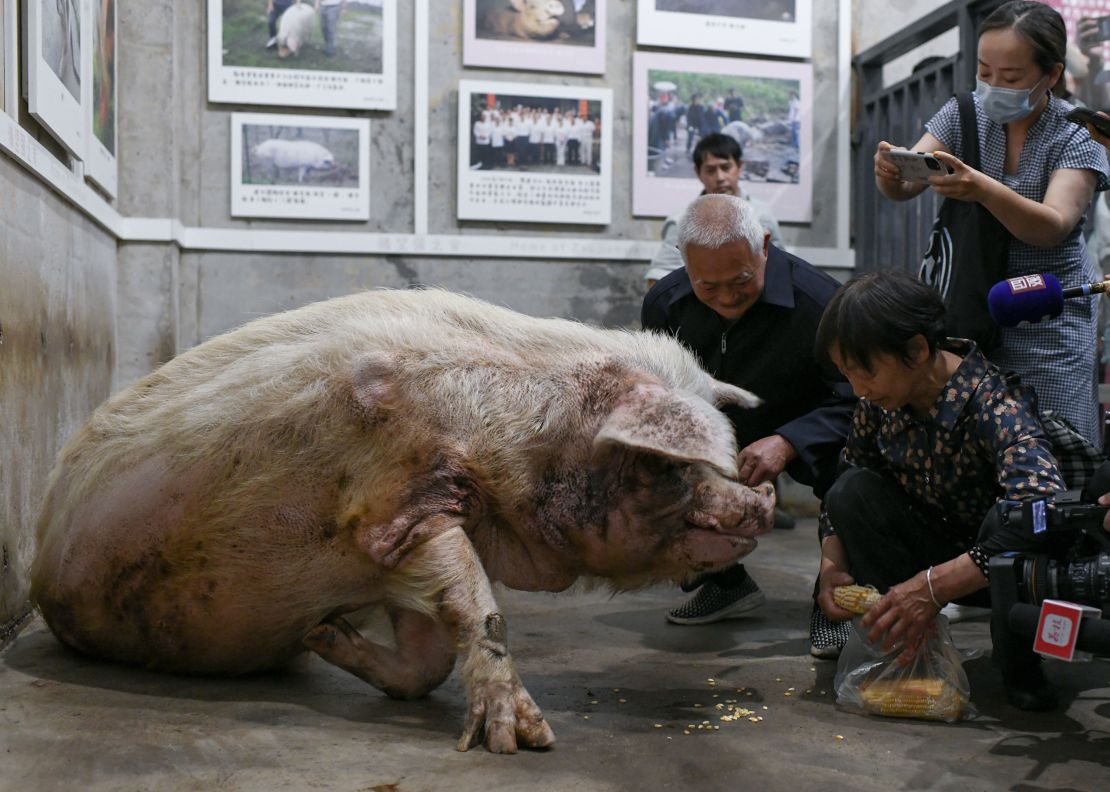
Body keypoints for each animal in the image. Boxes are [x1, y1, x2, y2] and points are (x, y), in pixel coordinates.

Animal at [32, 288, 772, 754]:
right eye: (666, 467)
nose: (758, 500)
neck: (522, 441)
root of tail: (37, 571)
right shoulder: (397, 505)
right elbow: (480, 609)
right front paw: (521, 742)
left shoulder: (409, 538)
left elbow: (432, 652)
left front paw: (325, 634)